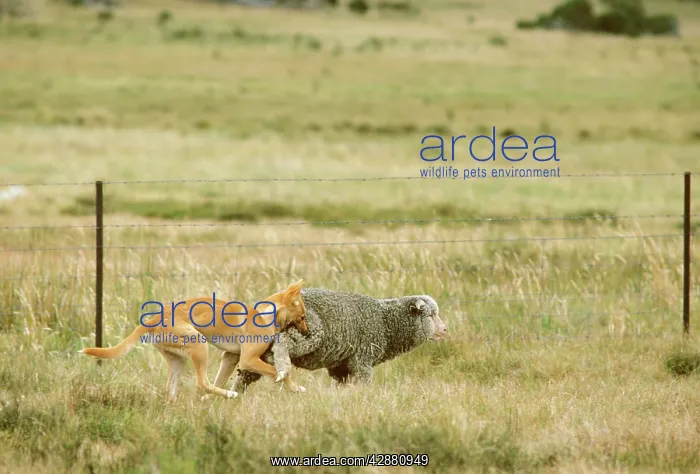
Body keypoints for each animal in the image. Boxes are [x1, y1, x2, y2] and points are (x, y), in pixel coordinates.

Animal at [224, 287, 447, 393]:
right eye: (431, 315)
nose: (445, 330)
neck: (386, 321)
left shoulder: (341, 366)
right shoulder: (362, 360)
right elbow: (365, 382)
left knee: (245, 374)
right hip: (308, 331)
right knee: (283, 343)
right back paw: (282, 366)